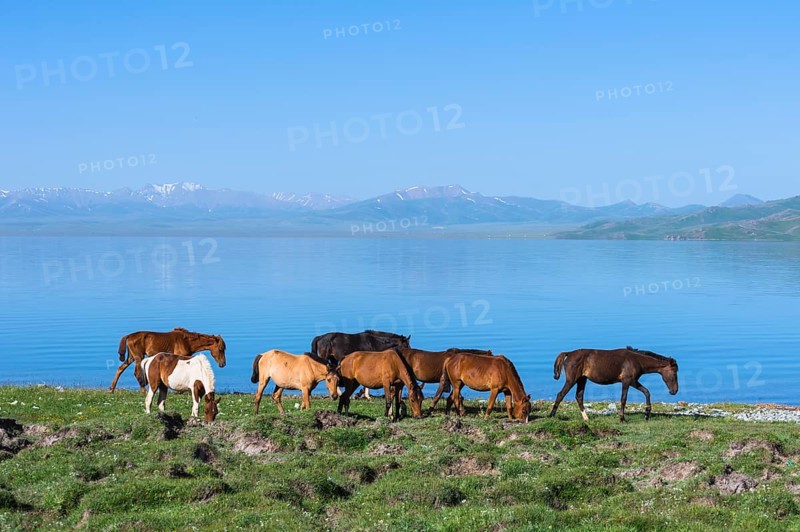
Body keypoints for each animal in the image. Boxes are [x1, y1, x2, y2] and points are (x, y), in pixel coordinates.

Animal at [548, 347, 679, 422]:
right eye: (674, 373)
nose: (674, 391)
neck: (636, 361)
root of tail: (569, 353)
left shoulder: (633, 381)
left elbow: (646, 392)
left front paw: (647, 414)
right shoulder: (627, 381)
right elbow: (623, 399)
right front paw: (622, 418)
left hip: (582, 379)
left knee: (579, 396)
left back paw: (586, 418)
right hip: (572, 380)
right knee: (561, 394)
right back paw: (551, 415)